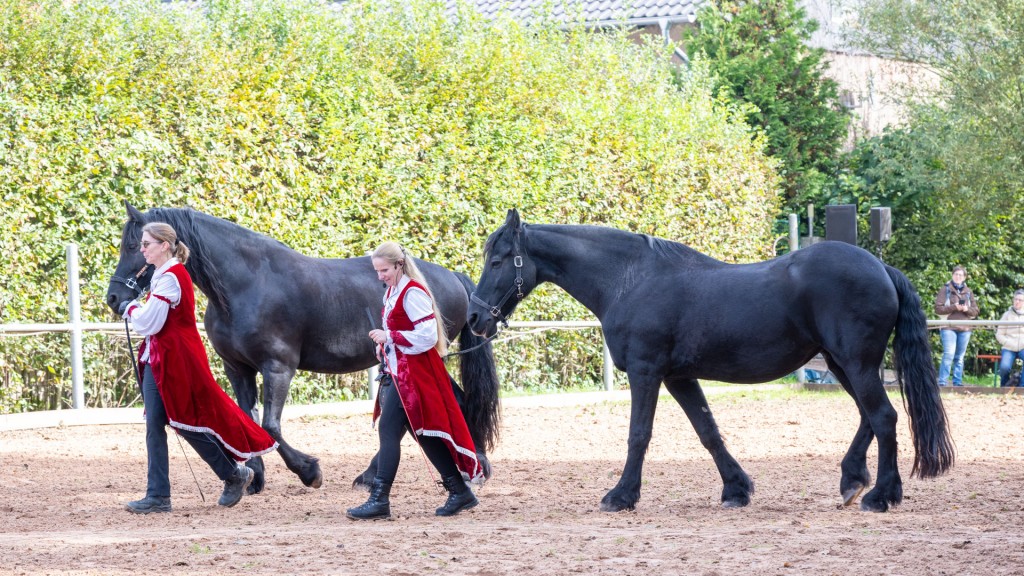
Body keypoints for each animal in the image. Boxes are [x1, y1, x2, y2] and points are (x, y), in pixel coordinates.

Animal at [107, 203, 499, 491]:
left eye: (134, 245)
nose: (113, 298)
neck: (247, 283)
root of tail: (452, 277)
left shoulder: (278, 367)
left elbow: (271, 425)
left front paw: (309, 471)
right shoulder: (239, 369)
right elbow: (250, 418)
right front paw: (254, 477)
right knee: (456, 400)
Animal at [468, 210, 954, 510]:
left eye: (498, 260)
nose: (475, 317)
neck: (629, 280)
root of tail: (881, 267)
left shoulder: (647, 373)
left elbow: (638, 435)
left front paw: (621, 495)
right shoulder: (679, 377)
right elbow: (708, 432)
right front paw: (737, 489)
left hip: (855, 363)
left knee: (884, 417)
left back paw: (881, 496)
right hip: (841, 364)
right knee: (870, 418)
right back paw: (853, 480)